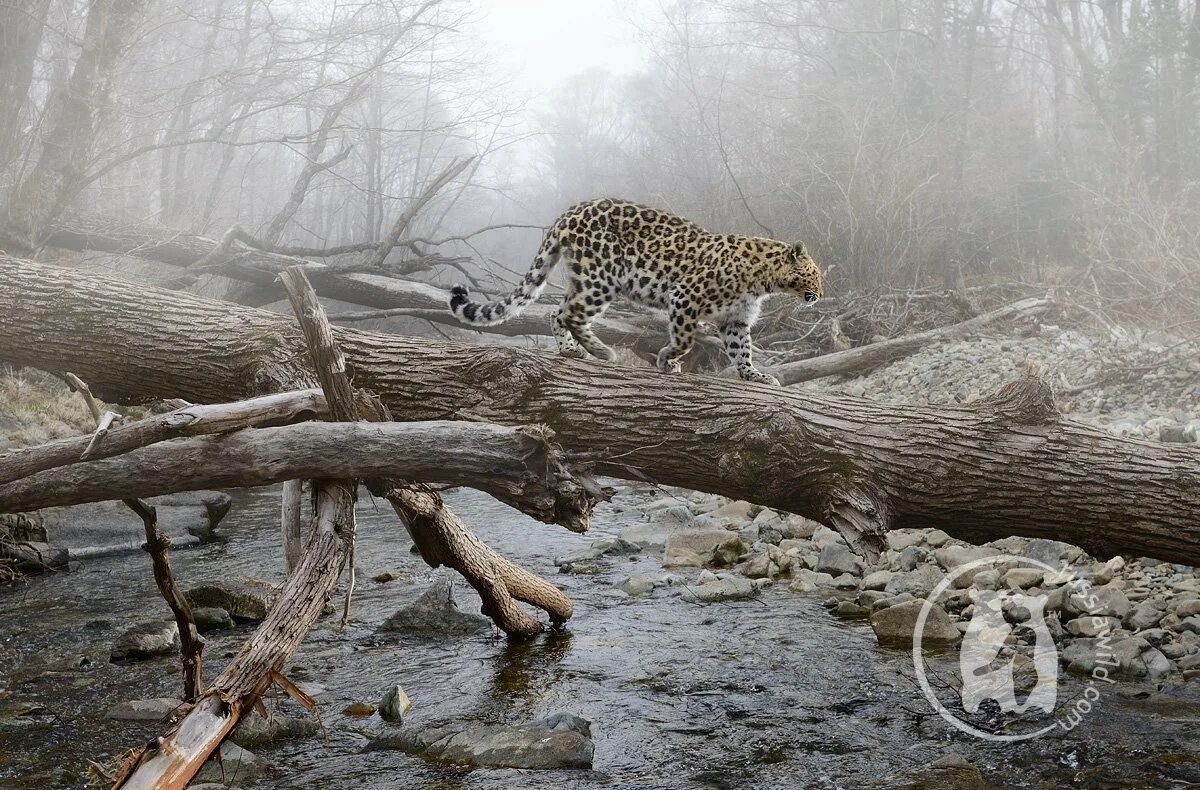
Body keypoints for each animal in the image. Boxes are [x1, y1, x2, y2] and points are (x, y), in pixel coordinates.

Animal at [451, 195, 825, 384]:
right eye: (814, 274)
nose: (820, 294)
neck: (764, 280)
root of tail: (569, 212)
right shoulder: (684, 296)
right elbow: (685, 339)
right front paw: (667, 361)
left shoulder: (736, 319)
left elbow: (742, 349)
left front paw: (754, 375)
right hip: (602, 278)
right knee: (571, 312)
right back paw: (602, 352)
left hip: (584, 277)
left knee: (559, 312)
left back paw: (571, 351)